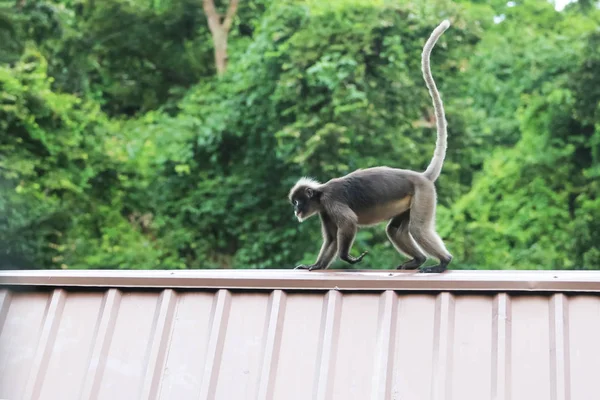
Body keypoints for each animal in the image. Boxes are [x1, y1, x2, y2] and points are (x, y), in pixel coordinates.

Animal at [288, 20, 452, 274]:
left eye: (297, 202)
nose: (296, 210)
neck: (321, 192)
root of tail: (421, 176)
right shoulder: (324, 210)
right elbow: (332, 239)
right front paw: (314, 265)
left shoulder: (330, 202)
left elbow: (349, 223)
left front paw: (347, 257)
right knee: (394, 230)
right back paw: (419, 260)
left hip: (423, 195)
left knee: (417, 228)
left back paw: (443, 262)